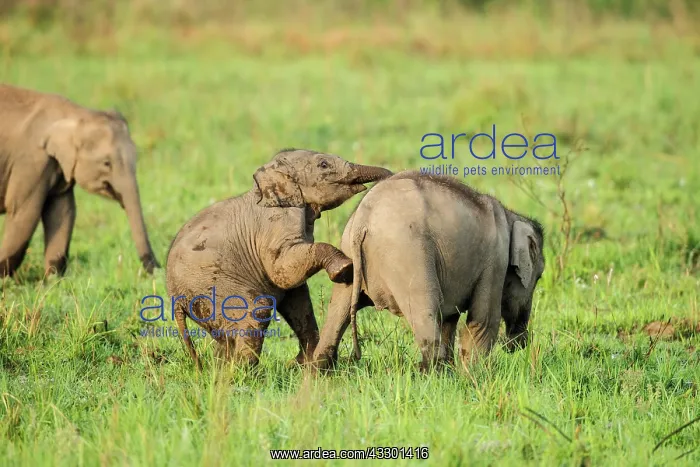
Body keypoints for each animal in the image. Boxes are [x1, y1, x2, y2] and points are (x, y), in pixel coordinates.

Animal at [0, 83, 160, 277]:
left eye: (136, 157)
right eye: (106, 163)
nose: (158, 270)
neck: (75, 115)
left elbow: (63, 212)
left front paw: (52, 281)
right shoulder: (30, 162)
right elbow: (24, 213)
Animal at [165, 148, 393, 370]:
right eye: (323, 165)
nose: (390, 175)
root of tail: (175, 299)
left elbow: (296, 297)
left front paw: (302, 365)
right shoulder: (277, 222)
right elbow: (283, 272)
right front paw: (344, 269)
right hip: (216, 288)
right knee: (257, 310)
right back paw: (246, 373)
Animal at [311, 171, 546, 372]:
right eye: (539, 276)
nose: (519, 344)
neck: (510, 216)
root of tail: (362, 220)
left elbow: (449, 319)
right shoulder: (495, 260)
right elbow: (483, 321)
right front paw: (473, 376)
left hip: (348, 258)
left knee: (338, 310)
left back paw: (318, 373)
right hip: (408, 254)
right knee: (424, 309)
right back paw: (433, 374)